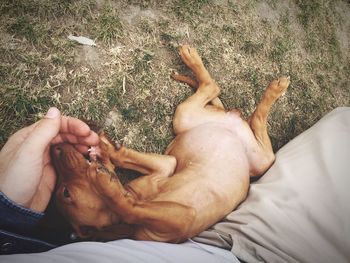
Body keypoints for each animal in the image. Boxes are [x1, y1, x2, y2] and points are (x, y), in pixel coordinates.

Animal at [50, 44, 288, 243]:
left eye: (65, 193)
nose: (54, 148)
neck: (140, 197)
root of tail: (232, 120)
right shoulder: (174, 195)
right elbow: (129, 208)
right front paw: (105, 170)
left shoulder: (173, 191)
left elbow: (127, 196)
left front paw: (103, 151)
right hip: (199, 124)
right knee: (245, 112)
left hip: (191, 119)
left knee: (218, 91)